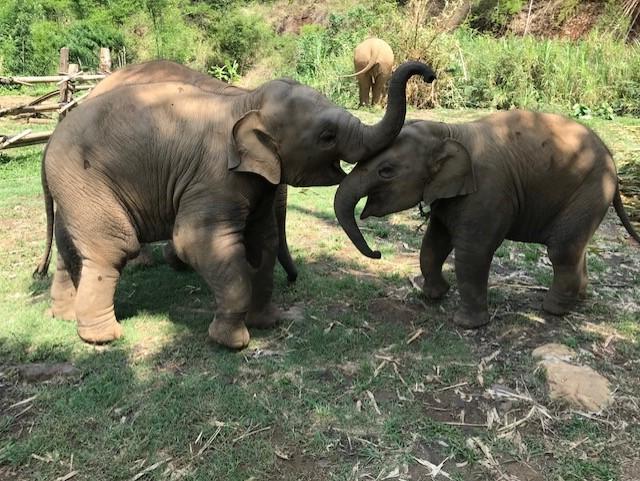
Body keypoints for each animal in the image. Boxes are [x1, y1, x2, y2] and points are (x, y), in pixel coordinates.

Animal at [336, 110, 640, 328]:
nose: (377, 253)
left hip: (590, 189)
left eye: (386, 171)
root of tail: (612, 158)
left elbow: (473, 253)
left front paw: (467, 325)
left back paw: (553, 310)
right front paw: (433, 295)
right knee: (577, 246)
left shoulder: (487, 194)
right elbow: (434, 242)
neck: (449, 130)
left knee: (562, 250)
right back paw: (579, 299)